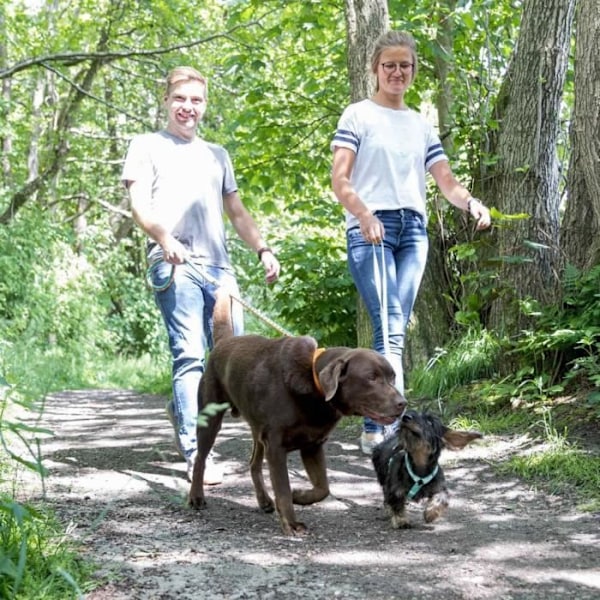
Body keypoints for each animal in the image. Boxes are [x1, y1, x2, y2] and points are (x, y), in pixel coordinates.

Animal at [190, 290, 406, 536]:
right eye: (371, 378)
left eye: (392, 378)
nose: (403, 403)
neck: (314, 387)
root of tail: (223, 342)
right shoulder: (276, 446)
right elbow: (283, 487)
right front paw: (291, 523)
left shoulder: (312, 445)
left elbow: (323, 487)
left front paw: (300, 496)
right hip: (211, 418)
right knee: (200, 458)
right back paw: (196, 497)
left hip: (257, 429)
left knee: (254, 464)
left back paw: (264, 500)